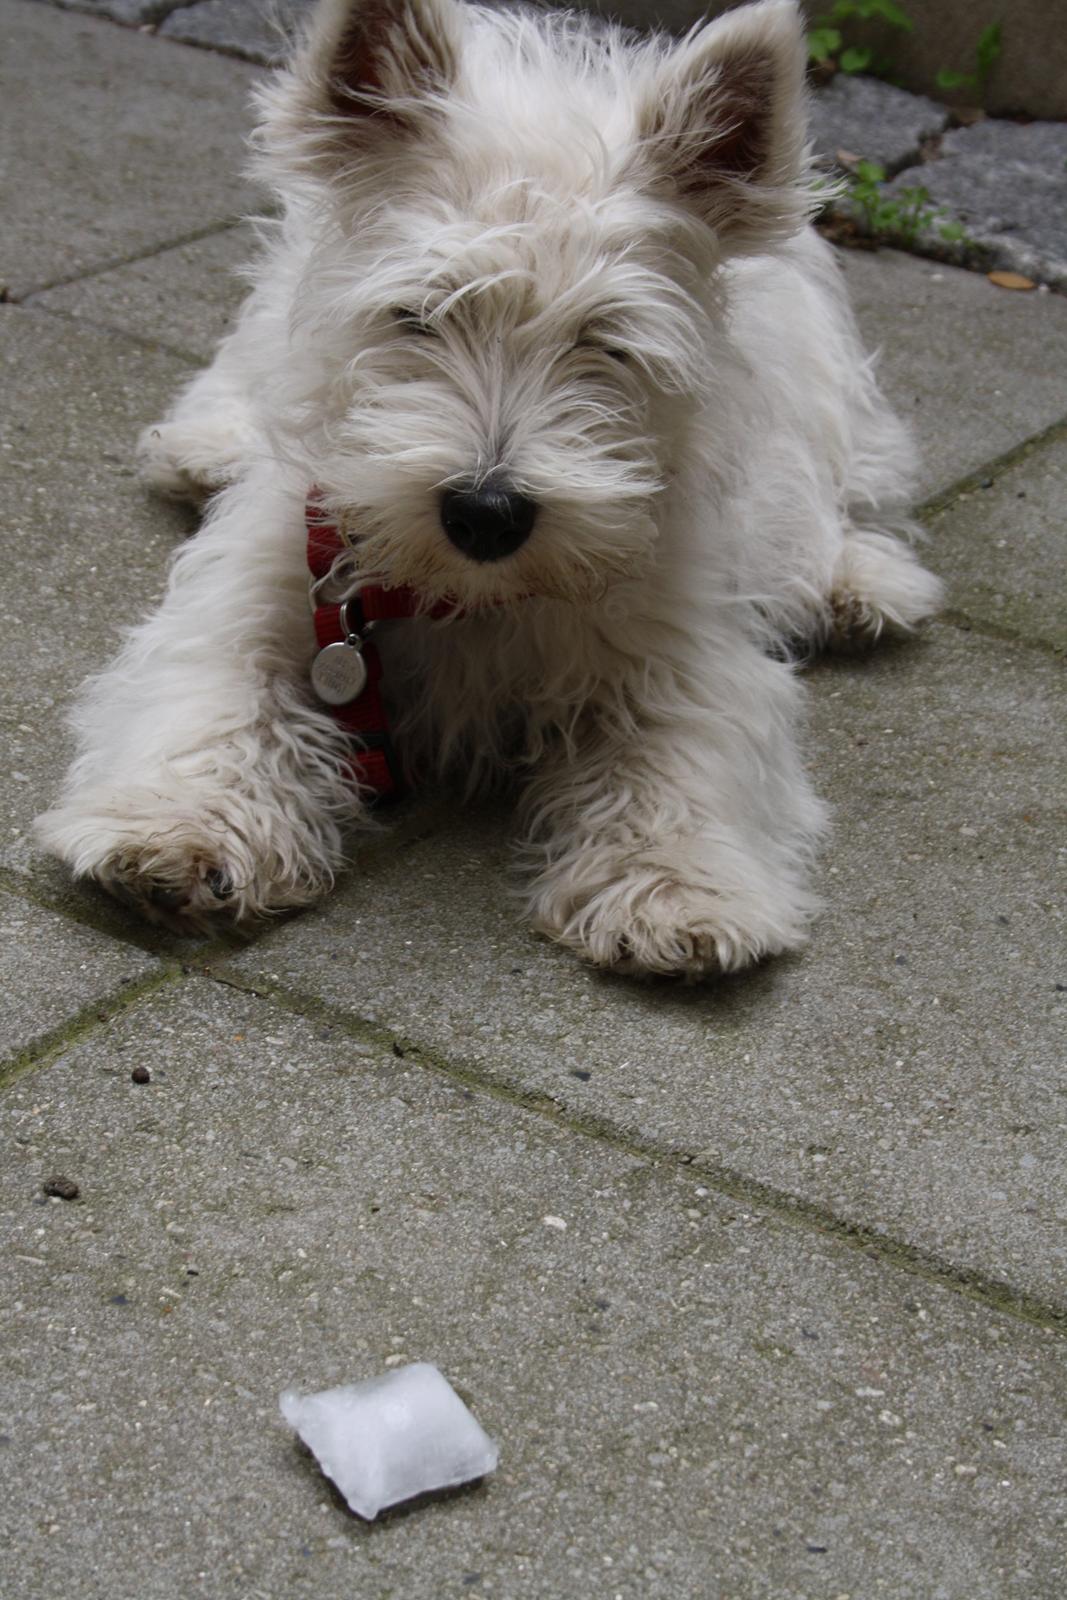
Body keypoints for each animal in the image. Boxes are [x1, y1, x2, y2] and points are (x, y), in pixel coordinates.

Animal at [37, 0, 940, 972]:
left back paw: (857, 581)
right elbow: (218, 700)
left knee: (847, 488)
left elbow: (677, 752)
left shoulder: (681, 641)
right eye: (415, 315)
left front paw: (674, 890)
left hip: (830, 396)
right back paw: (204, 447)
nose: (484, 513)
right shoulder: (271, 580)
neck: (463, 594)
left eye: (606, 342)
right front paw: (179, 829)